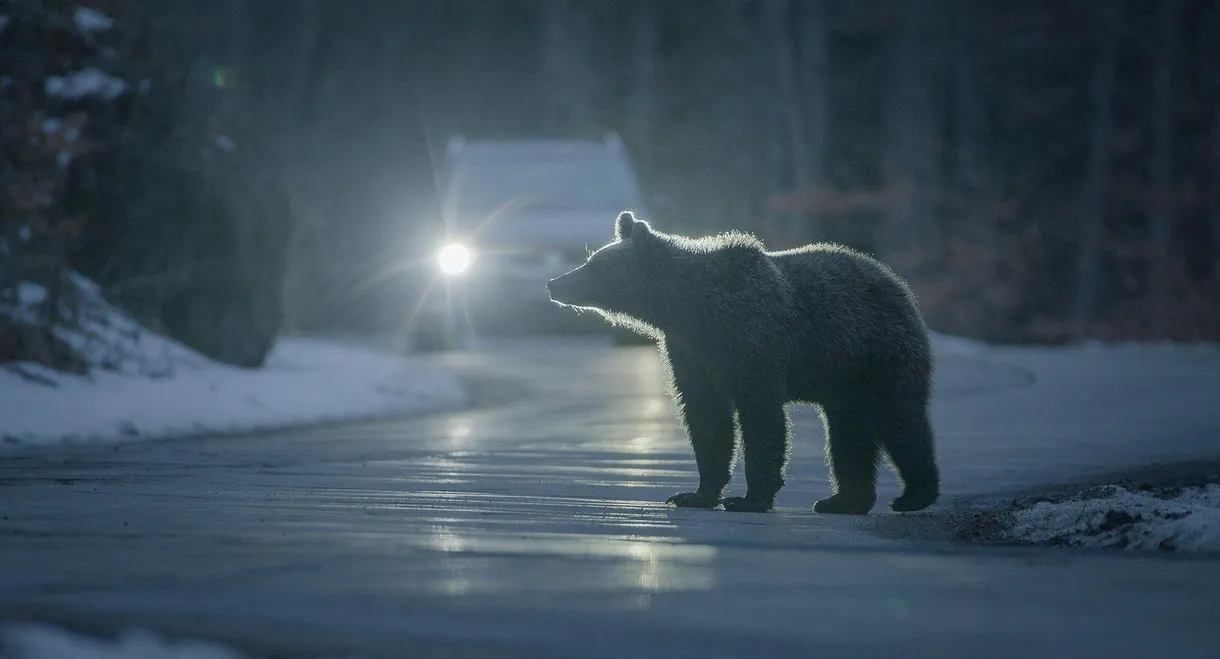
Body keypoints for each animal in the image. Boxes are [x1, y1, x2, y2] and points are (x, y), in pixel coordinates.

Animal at [546, 210, 939, 514]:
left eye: (595, 264)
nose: (554, 283)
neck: (690, 310)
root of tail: (897, 284)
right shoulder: (689, 351)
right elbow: (706, 416)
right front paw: (695, 494)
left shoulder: (752, 339)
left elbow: (760, 416)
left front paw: (749, 498)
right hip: (844, 381)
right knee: (847, 434)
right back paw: (843, 501)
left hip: (877, 354)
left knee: (900, 420)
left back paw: (913, 496)